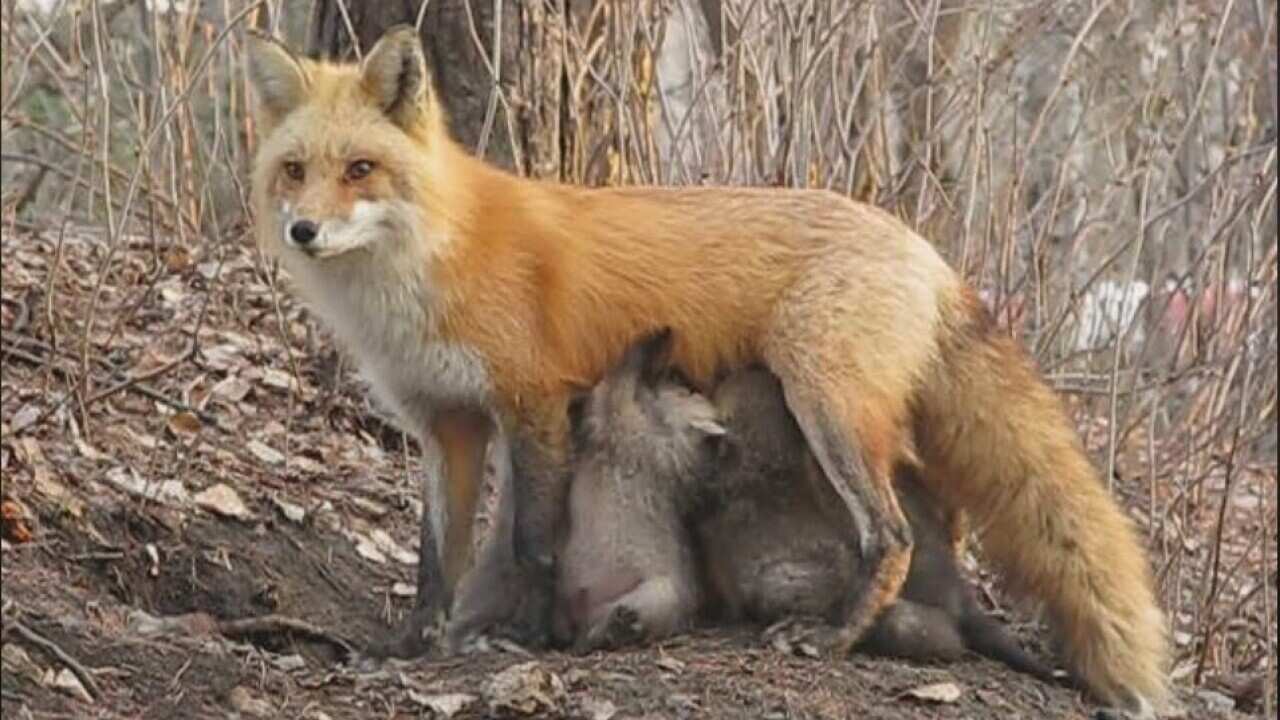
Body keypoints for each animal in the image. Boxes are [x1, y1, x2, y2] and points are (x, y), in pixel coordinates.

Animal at [245, 25, 1174, 717]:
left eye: (361, 170)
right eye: (295, 171)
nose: (303, 232)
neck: (432, 261)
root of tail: (925, 249)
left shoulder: (534, 405)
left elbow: (536, 543)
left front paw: (530, 636)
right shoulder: (450, 426)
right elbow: (435, 558)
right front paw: (408, 647)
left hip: (825, 404)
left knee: (893, 535)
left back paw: (834, 639)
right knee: (933, 524)